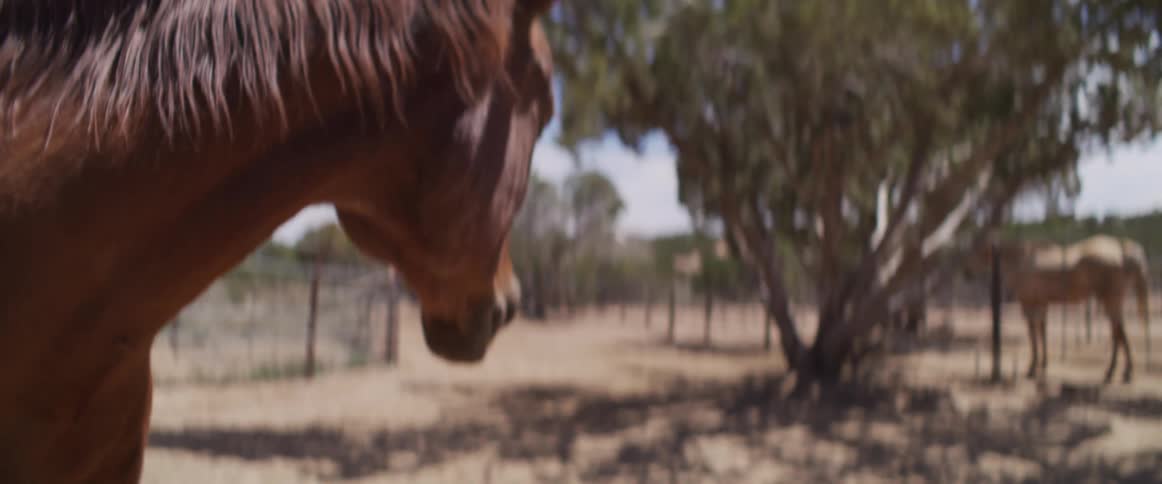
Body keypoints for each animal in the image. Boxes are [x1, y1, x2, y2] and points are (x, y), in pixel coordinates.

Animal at [966, 234, 1151, 383]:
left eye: (975, 251)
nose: (967, 271)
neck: (1021, 259)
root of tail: (1121, 249)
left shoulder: (1029, 305)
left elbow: (1033, 335)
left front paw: (1032, 368)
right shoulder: (1042, 304)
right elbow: (1042, 332)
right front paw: (1043, 365)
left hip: (1110, 300)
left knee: (1119, 332)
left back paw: (1116, 372)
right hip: (1111, 302)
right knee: (1118, 332)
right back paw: (1120, 371)